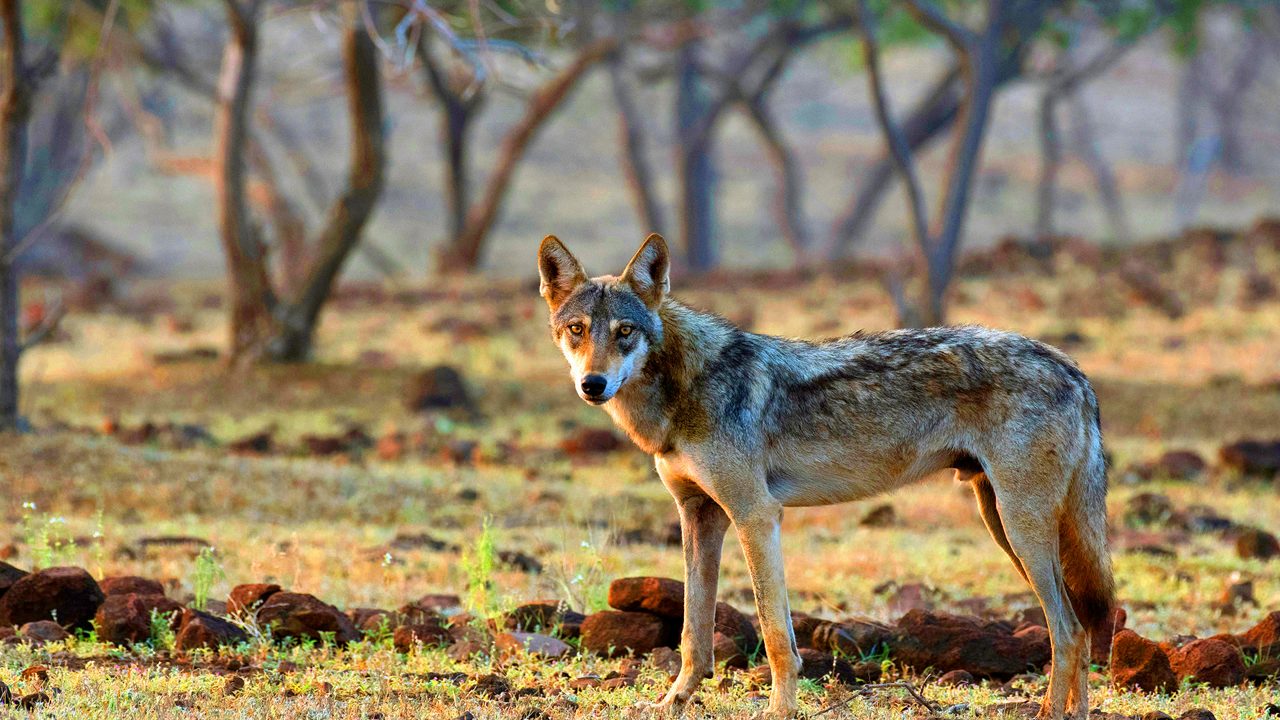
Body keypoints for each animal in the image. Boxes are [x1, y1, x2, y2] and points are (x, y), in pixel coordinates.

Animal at [535, 233, 1116, 712]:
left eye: (625, 332)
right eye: (577, 331)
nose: (592, 384)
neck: (685, 388)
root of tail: (1072, 367)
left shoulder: (755, 515)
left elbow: (775, 634)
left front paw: (780, 711)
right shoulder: (700, 516)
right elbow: (693, 635)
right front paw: (673, 703)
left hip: (1020, 528)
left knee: (1067, 631)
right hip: (1003, 524)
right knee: (1082, 628)